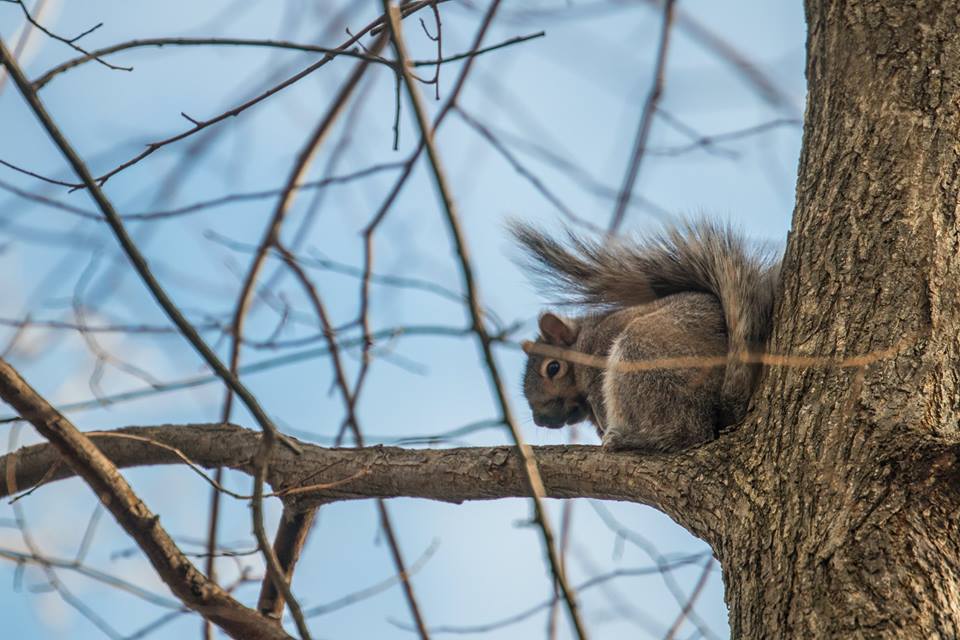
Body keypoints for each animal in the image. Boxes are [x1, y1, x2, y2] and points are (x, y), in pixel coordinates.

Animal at [512, 219, 780, 452]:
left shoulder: (597, 363)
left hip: (644, 356)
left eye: (553, 368)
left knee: (686, 431)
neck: (584, 341)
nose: (540, 419)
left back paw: (632, 439)